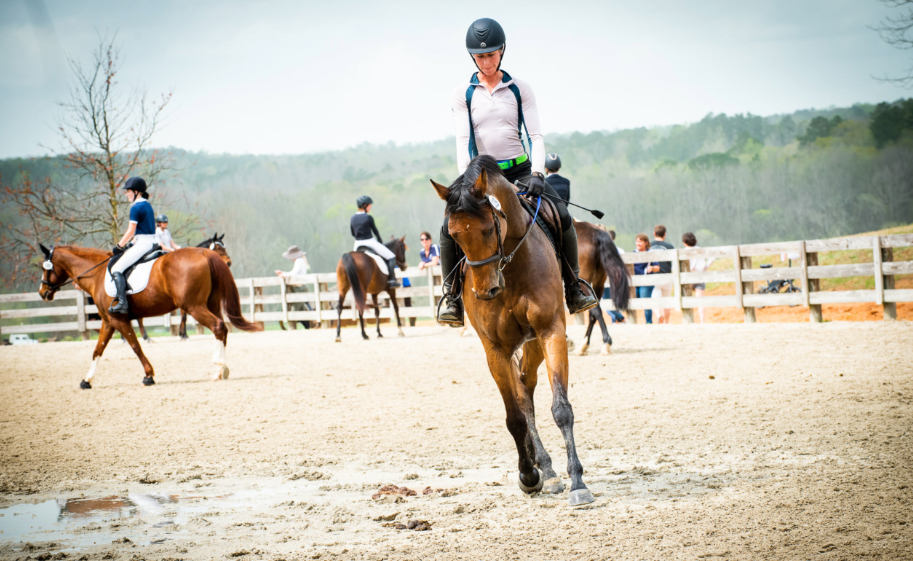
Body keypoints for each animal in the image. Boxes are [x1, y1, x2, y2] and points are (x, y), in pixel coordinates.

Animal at [37, 243, 260, 388]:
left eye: (44, 267)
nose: (42, 292)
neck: (98, 274)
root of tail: (205, 253)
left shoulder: (118, 320)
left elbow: (135, 346)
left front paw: (148, 376)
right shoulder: (108, 322)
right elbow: (97, 349)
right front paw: (87, 380)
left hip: (194, 306)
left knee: (218, 326)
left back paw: (219, 367)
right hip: (210, 303)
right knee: (222, 329)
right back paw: (221, 370)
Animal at [431, 155, 595, 506]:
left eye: (489, 227)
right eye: (454, 236)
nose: (485, 291)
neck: (511, 267)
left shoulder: (550, 331)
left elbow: (561, 408)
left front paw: (577, 482)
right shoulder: (495, 348)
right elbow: (514, 417)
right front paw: (528, 475)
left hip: (533, 343)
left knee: (526, 387)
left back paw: (548, 469)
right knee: (521, 397)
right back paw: (542, 469)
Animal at [574, 221, 631, 355]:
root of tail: (596, 233)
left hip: (583, 282)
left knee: (595, 311)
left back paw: (605, 343)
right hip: (599, 283)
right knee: (594, 311)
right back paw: (584, 345)